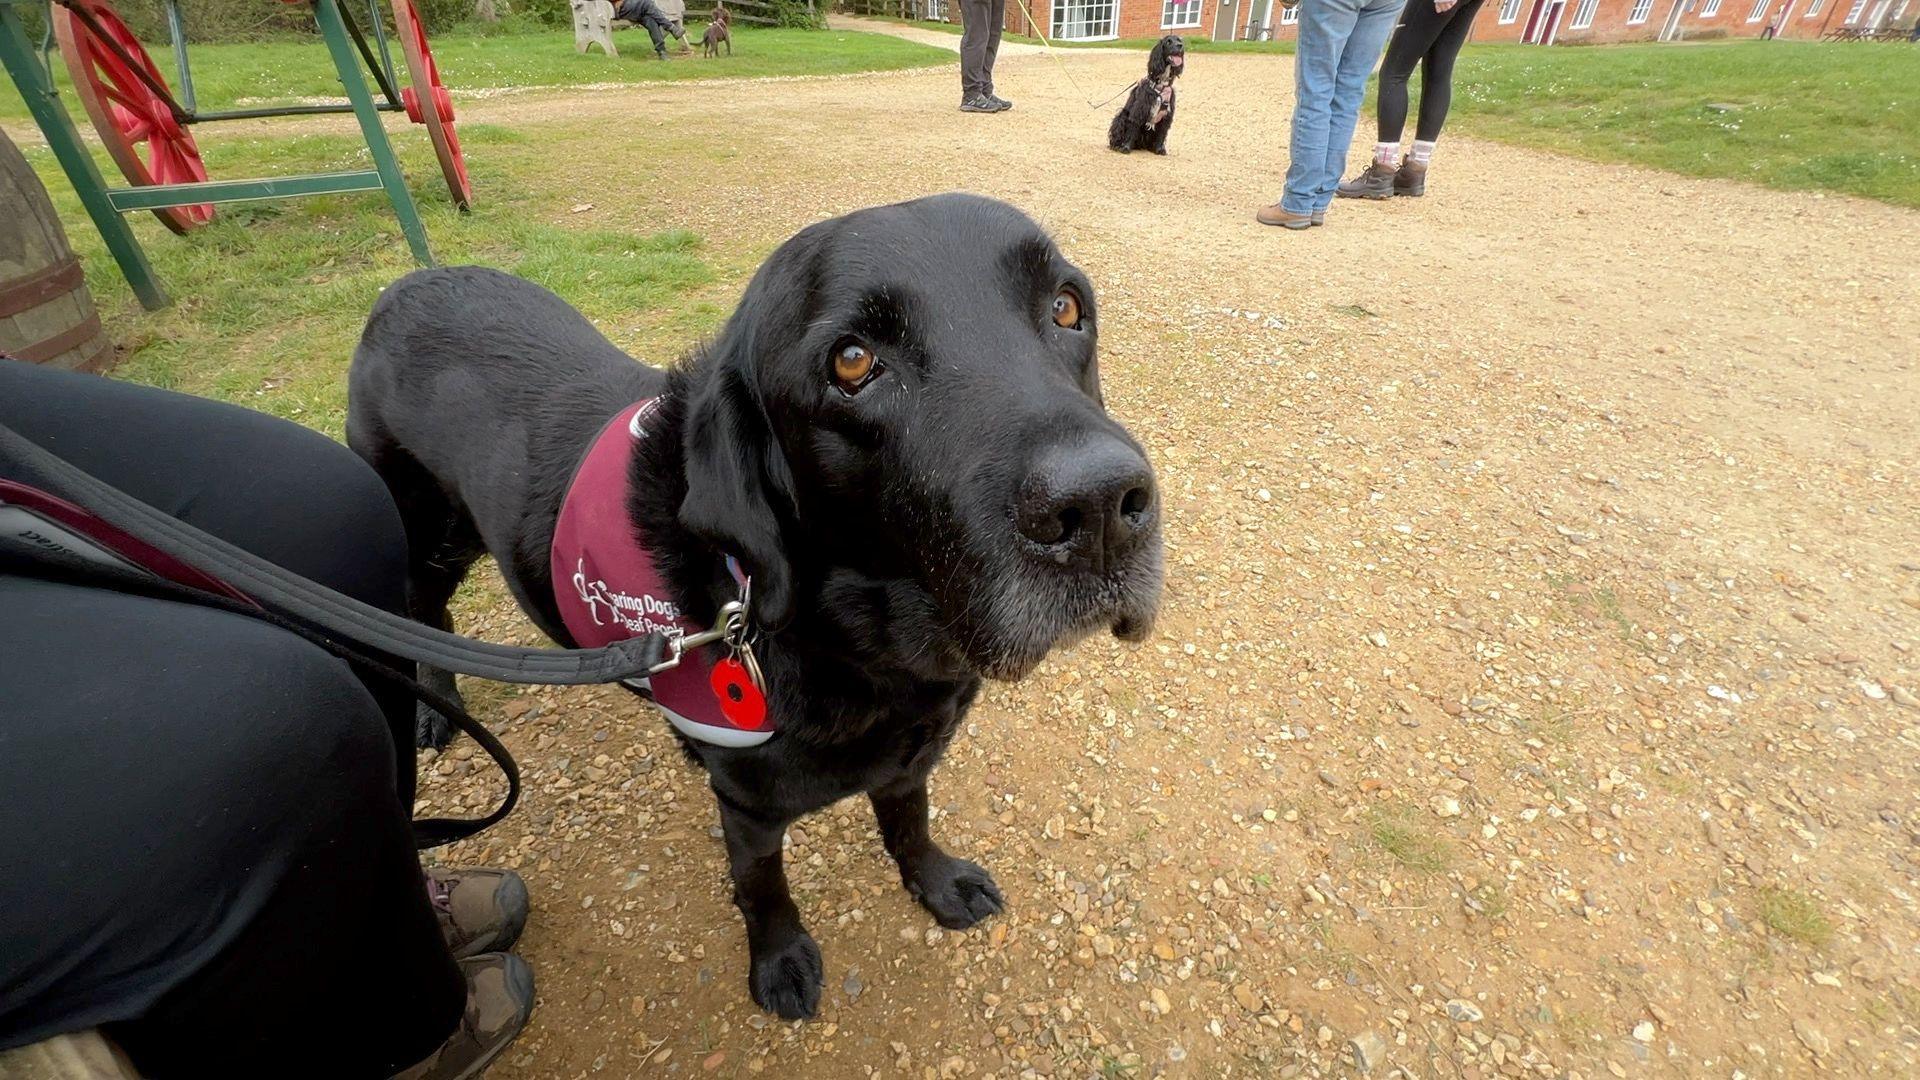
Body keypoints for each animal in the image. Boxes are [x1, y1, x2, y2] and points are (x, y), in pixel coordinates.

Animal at [345, 193, 1159, 1014]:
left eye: (1065, 306)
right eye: (852, 362)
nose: (1097, 507)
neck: (874, 652)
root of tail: (398, 289)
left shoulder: (911, 756)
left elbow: (909, 820)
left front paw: (935, 881)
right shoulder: (749, 810)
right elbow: (762, 888)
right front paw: (779, 960)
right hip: (420, 538)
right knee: (424, 618)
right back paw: (434, 710)